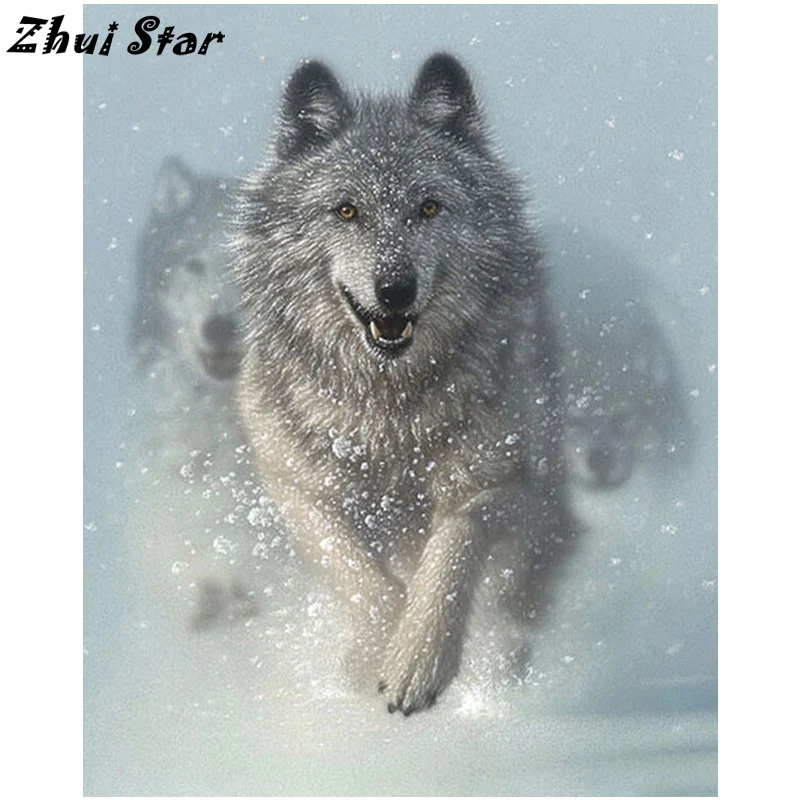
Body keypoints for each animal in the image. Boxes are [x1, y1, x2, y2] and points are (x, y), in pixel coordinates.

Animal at [231, 54, 579, 715]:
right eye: (346, 211)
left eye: (429, 208)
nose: (395, 289)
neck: (387, 413)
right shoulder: (295, 488)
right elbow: (358, 575)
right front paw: (375, 652)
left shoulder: (501, 481)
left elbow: (450, 555)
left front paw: (418, 659)